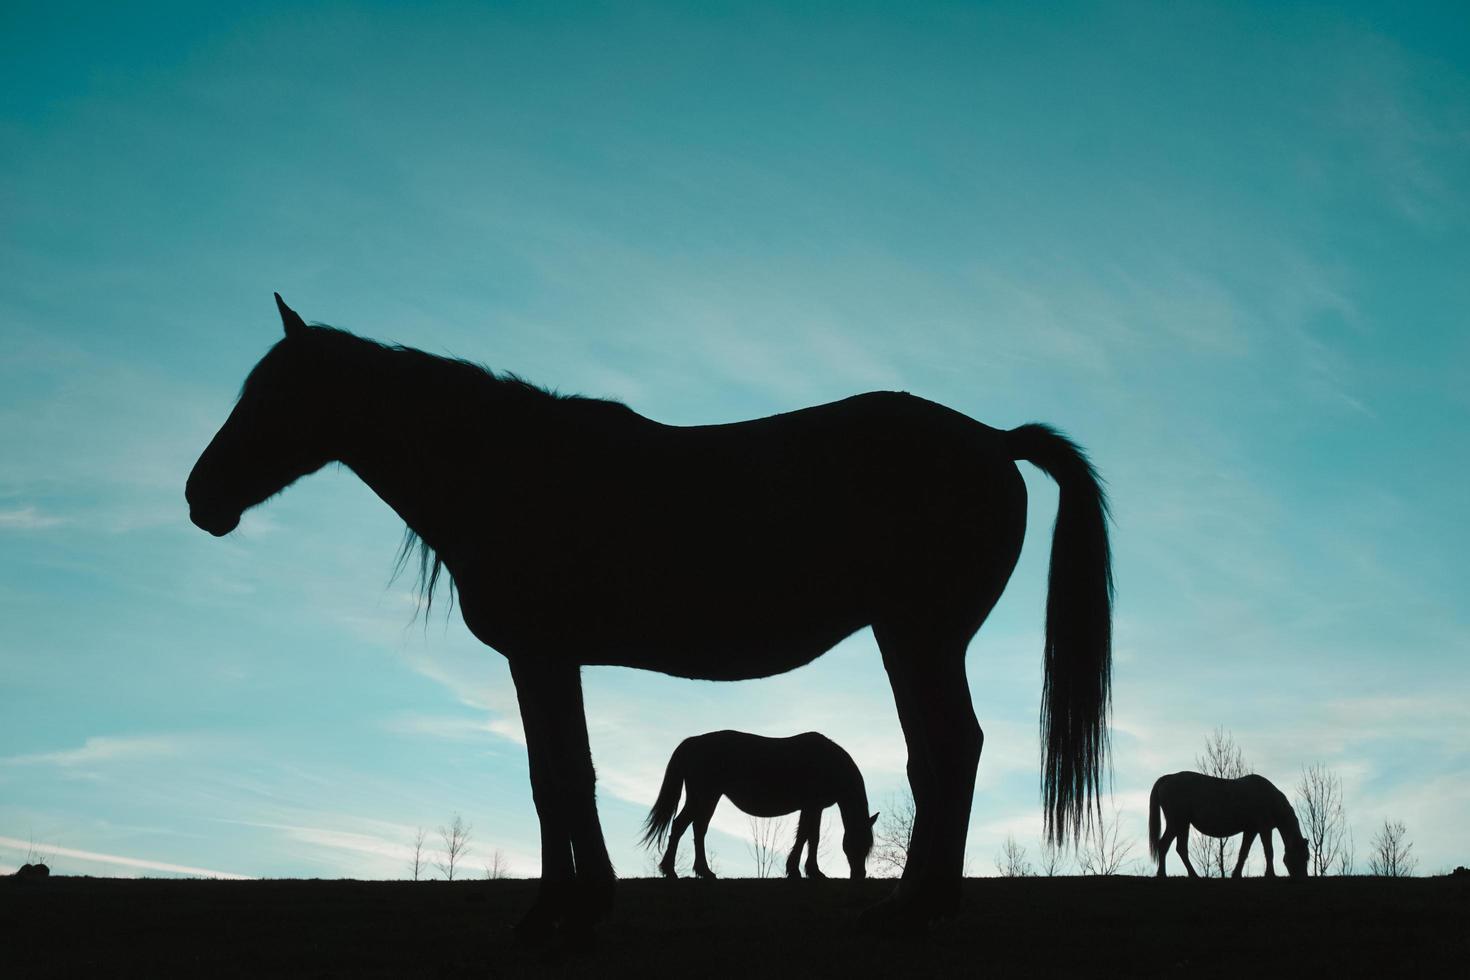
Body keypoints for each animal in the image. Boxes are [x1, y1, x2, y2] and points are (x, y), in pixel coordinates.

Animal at [640, 728, 870, 881]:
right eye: (858, 843)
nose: (860, 875)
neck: (829, 763)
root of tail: (692, 742)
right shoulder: (812, 806)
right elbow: (807, 836)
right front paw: (803, 871)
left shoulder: (814, 807)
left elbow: (810, 836)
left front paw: (807, 871)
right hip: (707, 796)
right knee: (695, 827)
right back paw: (692, 871)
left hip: (699, 797)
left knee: (685, 826)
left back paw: (679, 871)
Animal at [1146, 775, 1311, 881]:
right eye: (1303, 856)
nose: (1303, 878)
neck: (1269, 799)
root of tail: (1167, 778)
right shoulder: (1264, 828)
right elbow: (1269, 851)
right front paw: (1270, 875)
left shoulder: (1251, 830)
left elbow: (1243, 852)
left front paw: (1236, 874)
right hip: (1177, 822)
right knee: (1165, 845)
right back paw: (1166, 875)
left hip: (1183, 824)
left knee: (1178, 848)